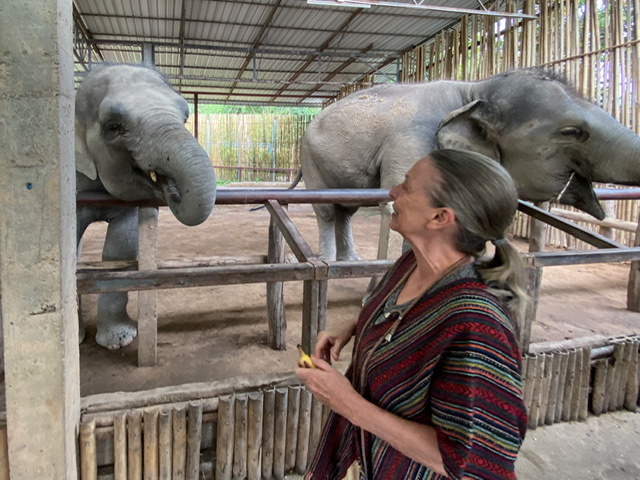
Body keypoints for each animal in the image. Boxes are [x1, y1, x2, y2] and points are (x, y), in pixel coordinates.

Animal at [75, 63, 218, 348]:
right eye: (114, 126)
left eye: (185, 118)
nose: (172, 190)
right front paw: (77, 337)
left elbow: (120, 247)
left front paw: (119, 340)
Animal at [300, 68, 640, 260]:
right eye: (571, 132)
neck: (475, 89)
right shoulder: (412, 142)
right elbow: (399, 206)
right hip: (312, 160)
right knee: (328, 211)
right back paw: (329, 263)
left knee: (346, 210)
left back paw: (350, 262)